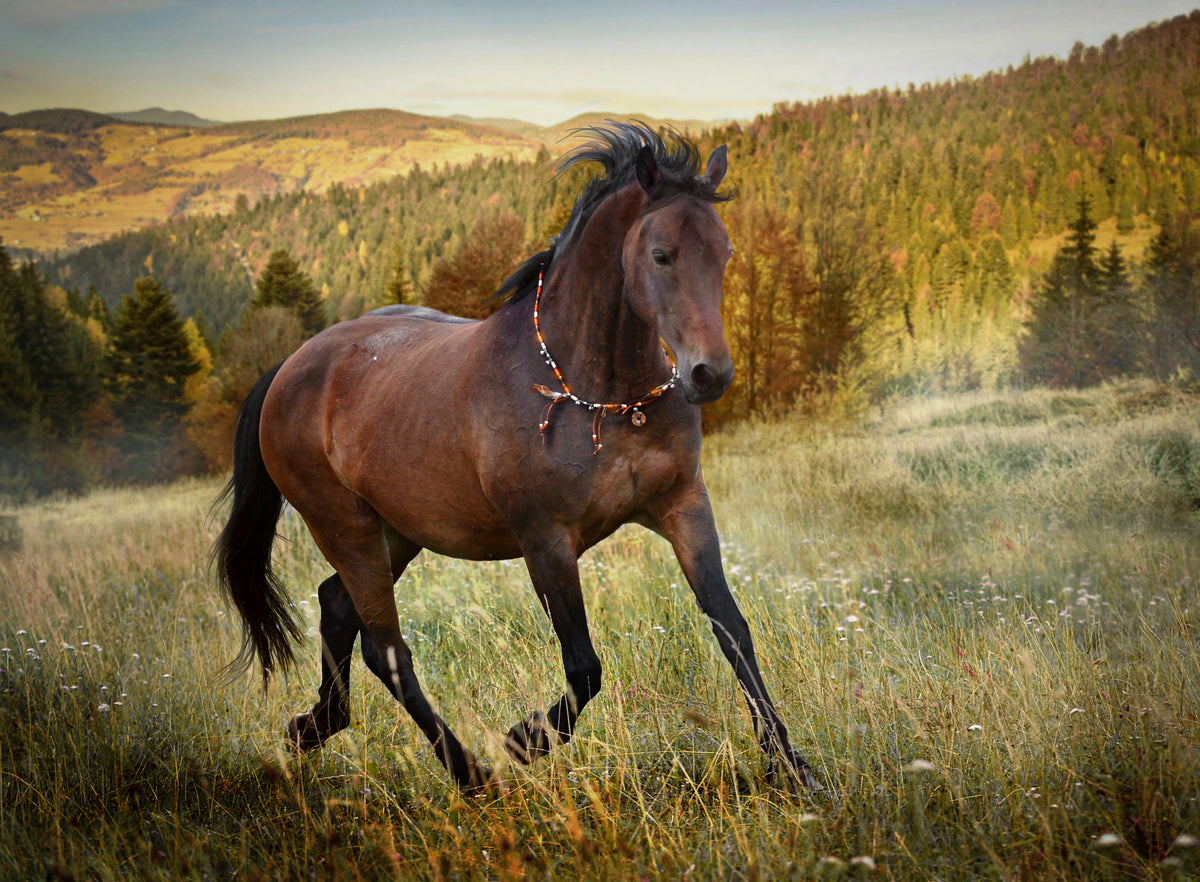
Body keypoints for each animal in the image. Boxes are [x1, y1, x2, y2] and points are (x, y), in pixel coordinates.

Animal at [211, 122, 820, 792]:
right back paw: (470, 774)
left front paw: (792, 767)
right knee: (386, 649)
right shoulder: (545, 540)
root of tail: (289, 369)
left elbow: (733, 630)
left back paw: (314, 726)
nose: (709, 375)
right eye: (661, 254)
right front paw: (524, 740)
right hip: (343, 526)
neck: (599, 394)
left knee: (337, 609)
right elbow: (584, 665)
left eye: (725, 253)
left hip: (396, 530)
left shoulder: (683, 504)